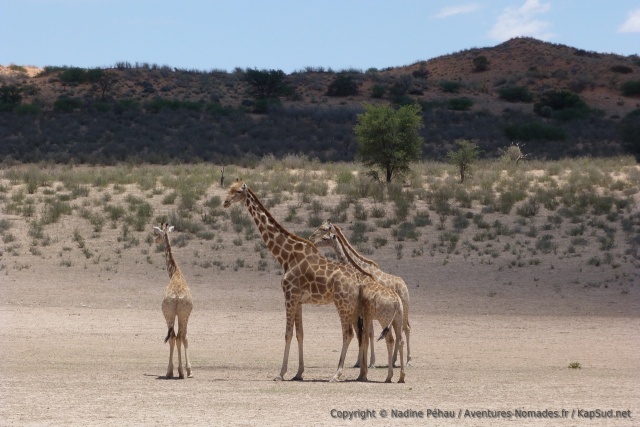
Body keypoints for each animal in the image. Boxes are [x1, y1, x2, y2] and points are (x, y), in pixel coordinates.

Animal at [154, 223, 193, 379]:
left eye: (157, 234)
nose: (155, 241)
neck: (175, 272)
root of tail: (176, 298)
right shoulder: (186, 315)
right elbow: (185, 337)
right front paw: (189, 370)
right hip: (180, 314)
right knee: (179, 336)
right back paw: (178, 372)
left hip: (170, 314)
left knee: (174, 337)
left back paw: (171, 371)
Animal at [223, 180, 367, 382]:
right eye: (228, 189)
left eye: (237, 191)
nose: (225, 202)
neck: (285, 256)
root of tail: (358, 279)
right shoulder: (298, 300)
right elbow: (300, 334)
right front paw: (298, 373)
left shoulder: (289, 296)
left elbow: (288, 333)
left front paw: (280, 373)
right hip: (353, 305)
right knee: (361, 333)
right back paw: (362, 374)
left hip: (342, 303)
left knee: (348, 333)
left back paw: (336, 374)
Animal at [323, 232, 406, 383]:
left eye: (325, 237)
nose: (311, 239)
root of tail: (397, 301)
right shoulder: (366, 316)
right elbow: (364, 338)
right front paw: (362, 371)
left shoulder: (364, 315)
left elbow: (364, 338)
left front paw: (363, 373)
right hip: (398, 319)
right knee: (400, 340)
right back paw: (401, 377)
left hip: (384, 319)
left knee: (390, 340)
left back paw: (389, 376)